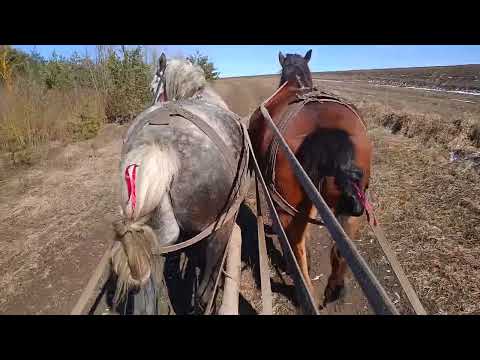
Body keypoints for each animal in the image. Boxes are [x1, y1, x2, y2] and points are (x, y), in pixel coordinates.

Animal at [248, 49, 376, 306]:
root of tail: (327, 136)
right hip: (352, 205)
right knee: (342, 248)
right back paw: (334, 289)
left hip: (288, 208)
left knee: (296, 247)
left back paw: (305, 291)